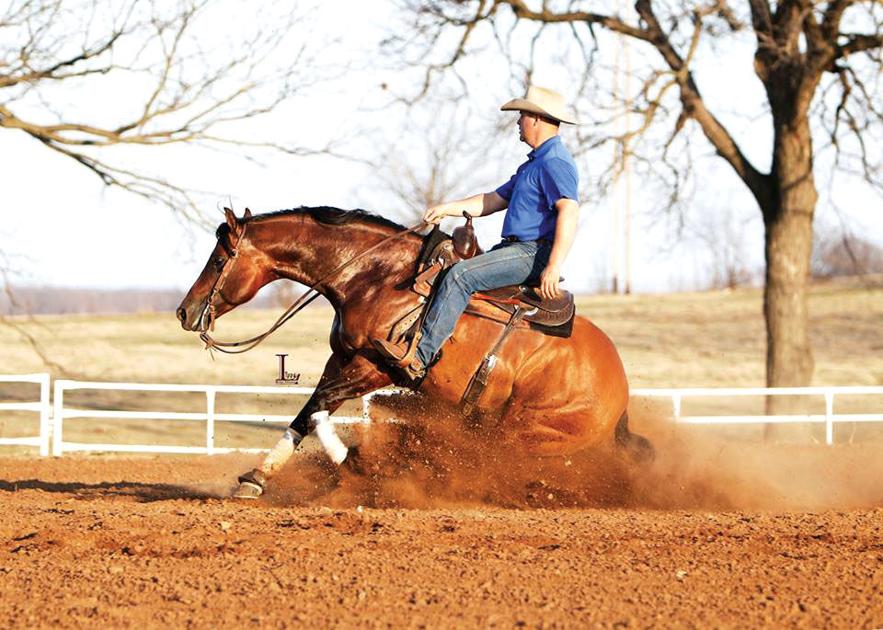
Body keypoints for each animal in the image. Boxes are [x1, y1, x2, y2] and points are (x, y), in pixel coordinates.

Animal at [177, 207, 653, 498]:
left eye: (218, 261)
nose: (185, 311)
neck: (376, 278)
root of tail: (620, 390)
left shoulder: (376, 368)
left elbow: (318, 410)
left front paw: (354, 463)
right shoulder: (342, 359)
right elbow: (306, 412)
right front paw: (256, 478)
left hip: (526, 431)